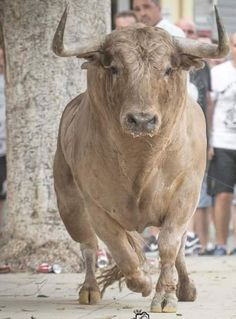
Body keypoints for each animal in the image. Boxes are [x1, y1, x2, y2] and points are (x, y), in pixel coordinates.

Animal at [51, 6, 229, 314]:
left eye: (168, 69)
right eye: (114, 68)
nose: (142, 120)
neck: (141, 162)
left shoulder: (186, 194)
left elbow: (169, 244)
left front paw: (166, 296)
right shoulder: (95, 206)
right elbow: (120, 249)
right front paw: (142, 280)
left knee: (178, 248)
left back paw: (185, 287)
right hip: (69, 204)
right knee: (87, 245)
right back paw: (90, 288)